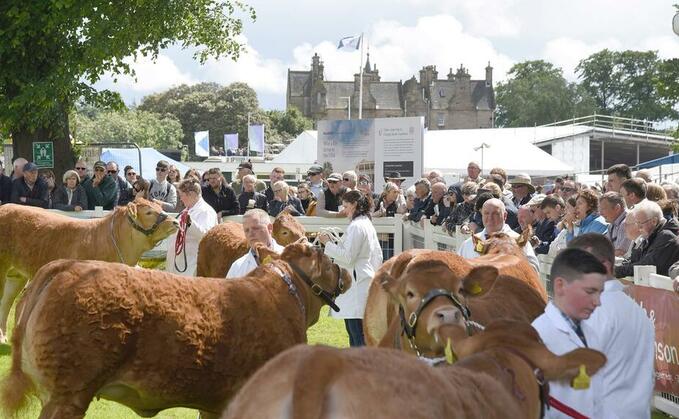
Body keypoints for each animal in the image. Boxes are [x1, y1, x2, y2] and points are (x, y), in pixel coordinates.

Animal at [0, 199, 178, 342]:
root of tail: (6, 206)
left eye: (159, 207)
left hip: (16, 275)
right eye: (149, 212)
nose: (176, 222)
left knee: (7, 301)